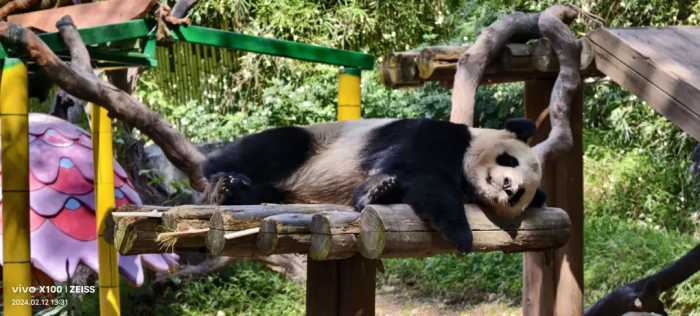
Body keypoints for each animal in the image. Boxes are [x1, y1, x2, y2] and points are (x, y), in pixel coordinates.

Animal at [200, 117, 544, 253]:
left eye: (521, 194)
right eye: (509, 160)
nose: (509, 187)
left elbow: (411, 181)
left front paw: (376, 191)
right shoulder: (435, 137)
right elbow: (419, 172)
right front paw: (461, 233)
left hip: (285, 190)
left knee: (266, 188)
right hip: (314, 142)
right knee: (272, 148)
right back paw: (221, 183)